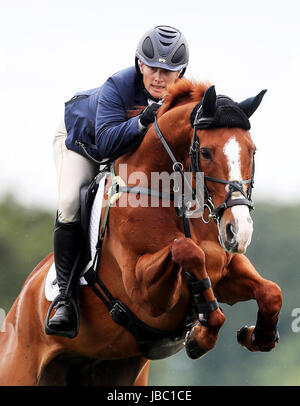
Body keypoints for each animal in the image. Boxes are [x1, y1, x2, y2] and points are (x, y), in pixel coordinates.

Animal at [0, 81, 282, 386]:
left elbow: (271, 291)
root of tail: (15, 311)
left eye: (252, 151)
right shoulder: (143, 290)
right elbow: (187, 249)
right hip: (20, 368)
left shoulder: (225, 269)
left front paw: (258, 335)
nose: (239, 230)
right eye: (206, 152)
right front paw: (200, 335)